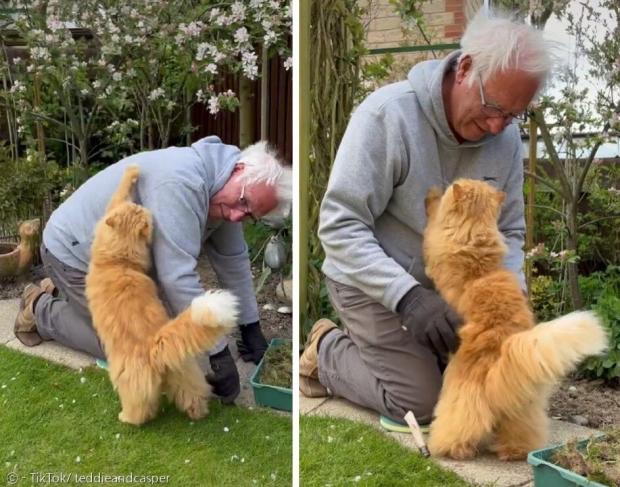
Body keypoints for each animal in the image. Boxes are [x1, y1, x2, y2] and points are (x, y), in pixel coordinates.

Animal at [86, 166, 240, 426]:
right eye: (138, 211)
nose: (145, 209)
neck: (120, 262)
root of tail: (154, 344)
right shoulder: (116, 207)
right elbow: (122, 191)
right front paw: (134, 171)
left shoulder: (114, 206)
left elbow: (120, 190)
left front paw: (132, 169)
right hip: (184, 374)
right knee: (194, 396)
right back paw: (199, 413)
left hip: (127, 382)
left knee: (140, 410)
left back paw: (126, 418)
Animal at [424, 180, 608, 462]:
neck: (476, 243)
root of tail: (504, 348)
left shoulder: (436, 246)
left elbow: (432, 223)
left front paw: (432, 199)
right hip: (522, 405)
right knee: (520, 431)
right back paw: (512, 451)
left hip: (459, 389)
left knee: (463, 421)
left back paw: (452, 448)